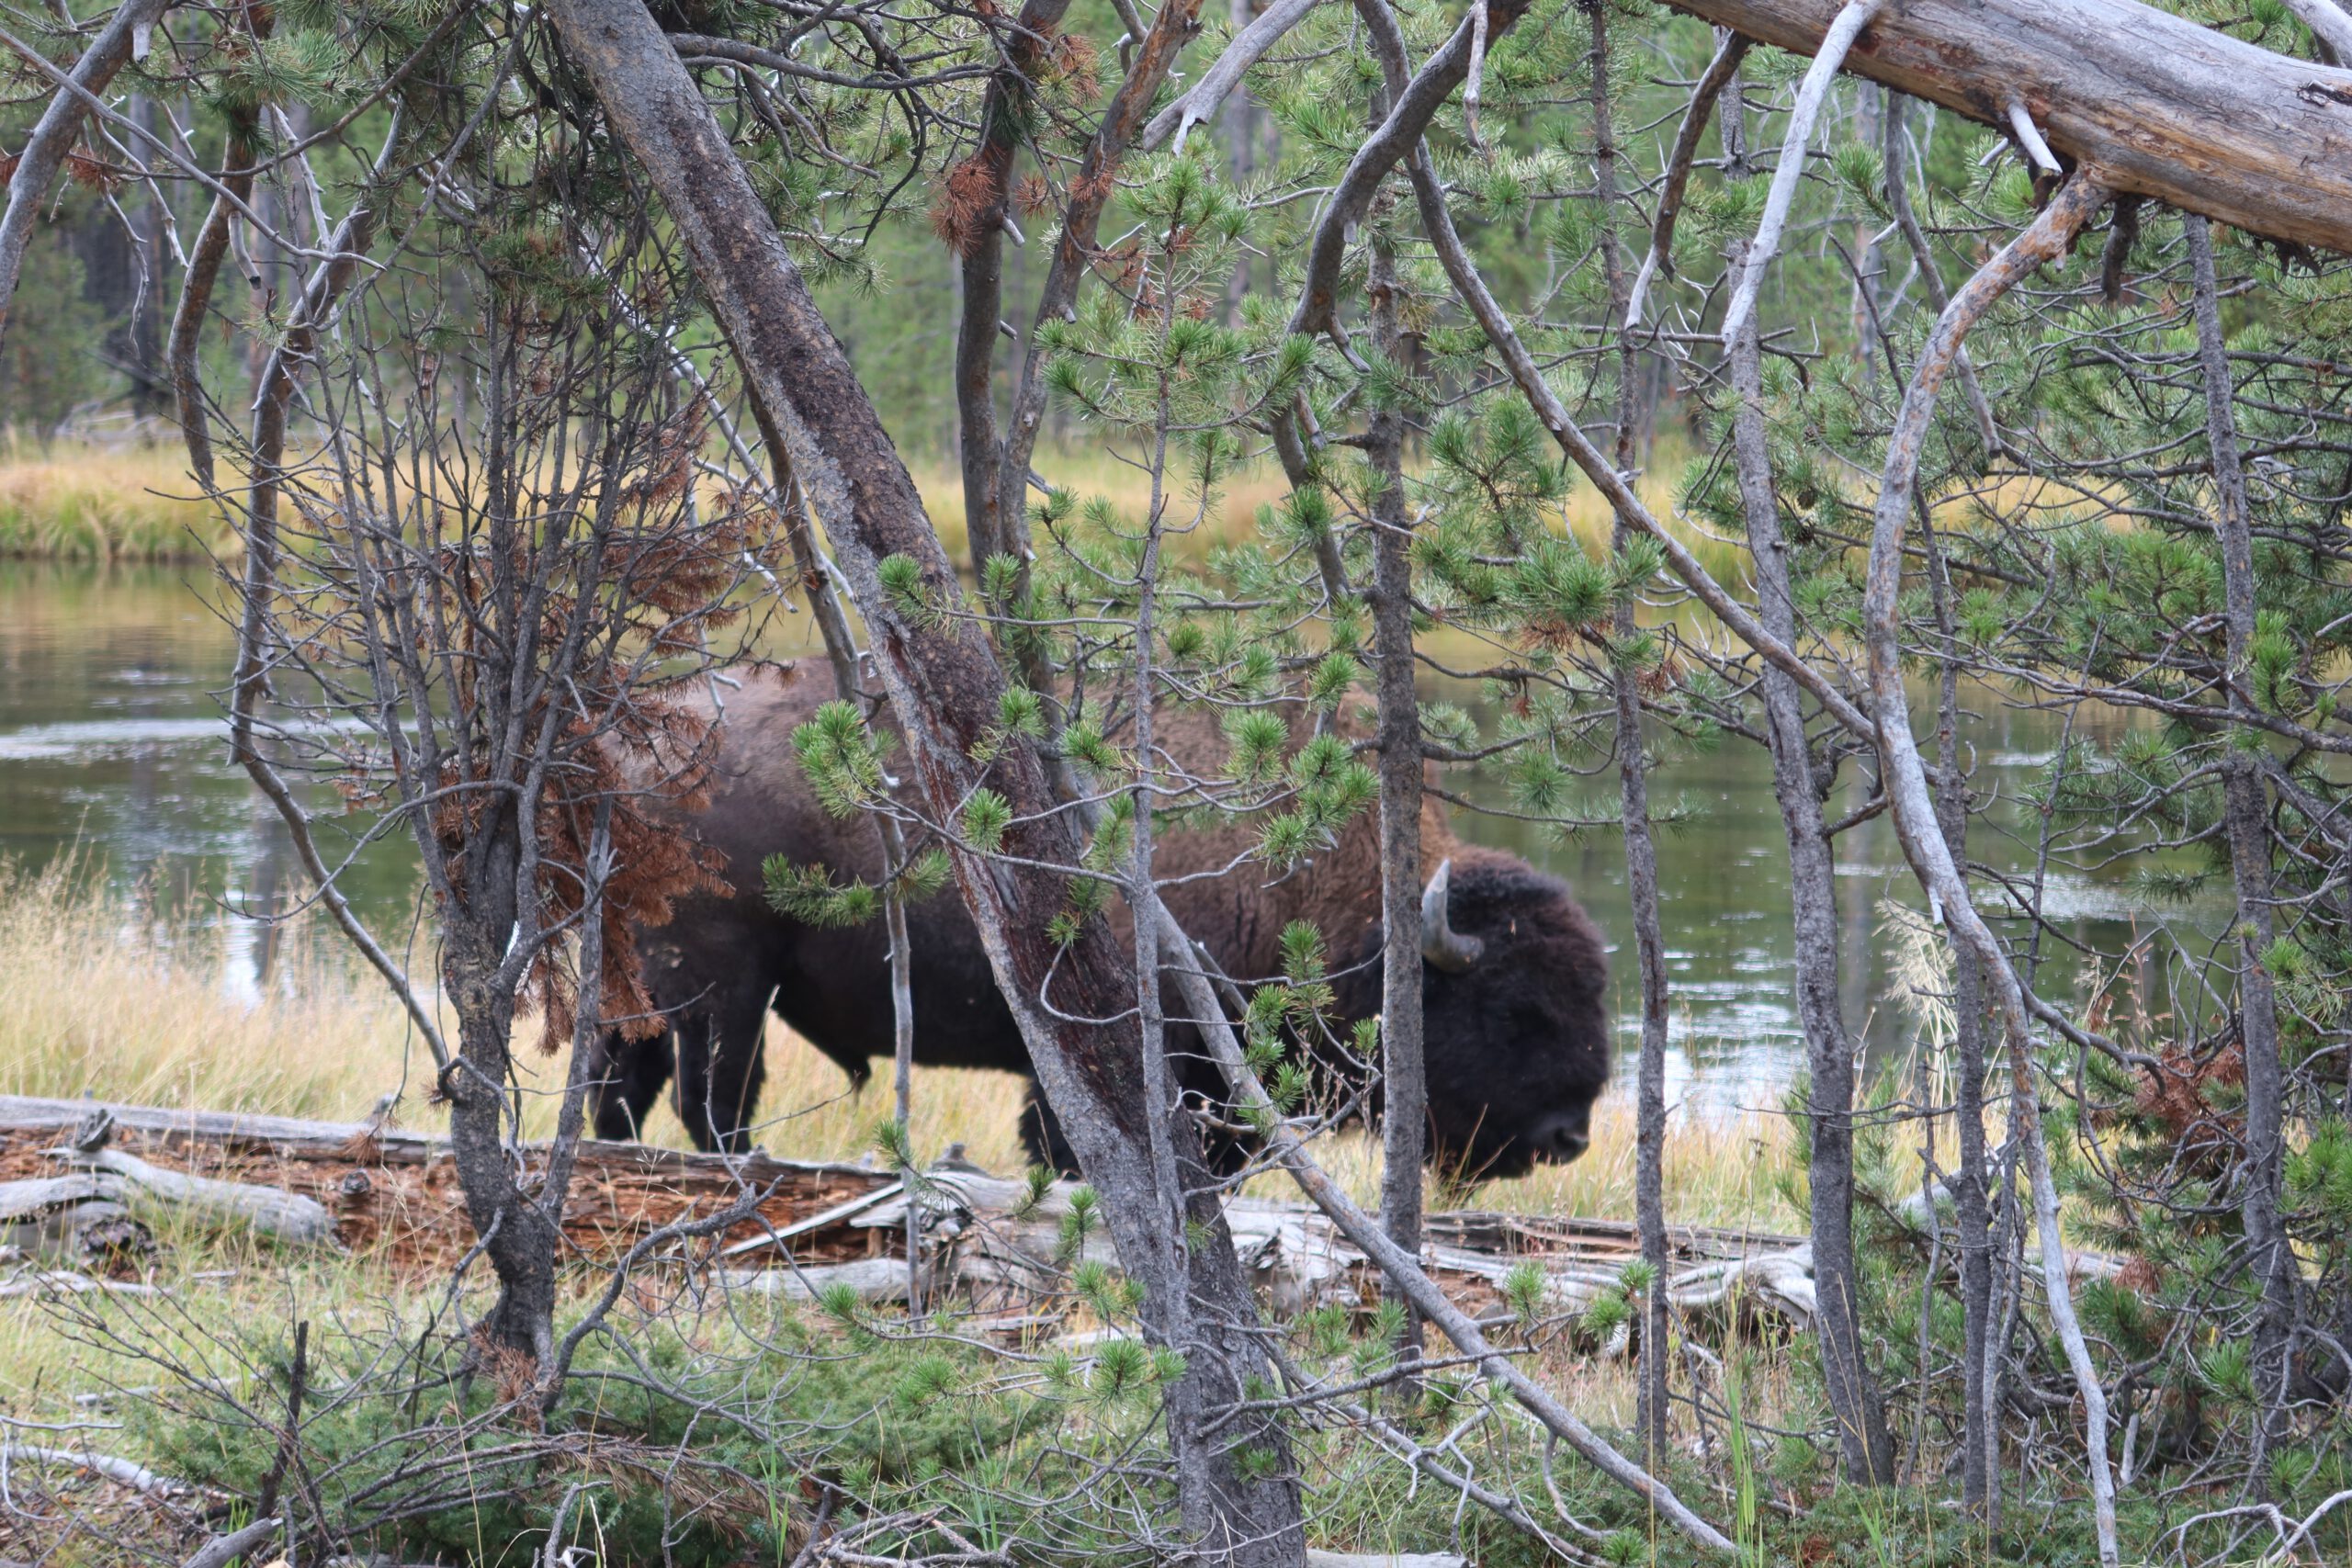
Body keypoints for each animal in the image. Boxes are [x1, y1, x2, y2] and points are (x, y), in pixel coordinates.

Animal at [590, 661, 1612, 1178]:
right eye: (1512, 1010)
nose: (1569, 1136)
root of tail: (624, 730)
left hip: (630, 983)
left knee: (615, 1091)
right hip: (724, 990)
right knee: (709, 1101)